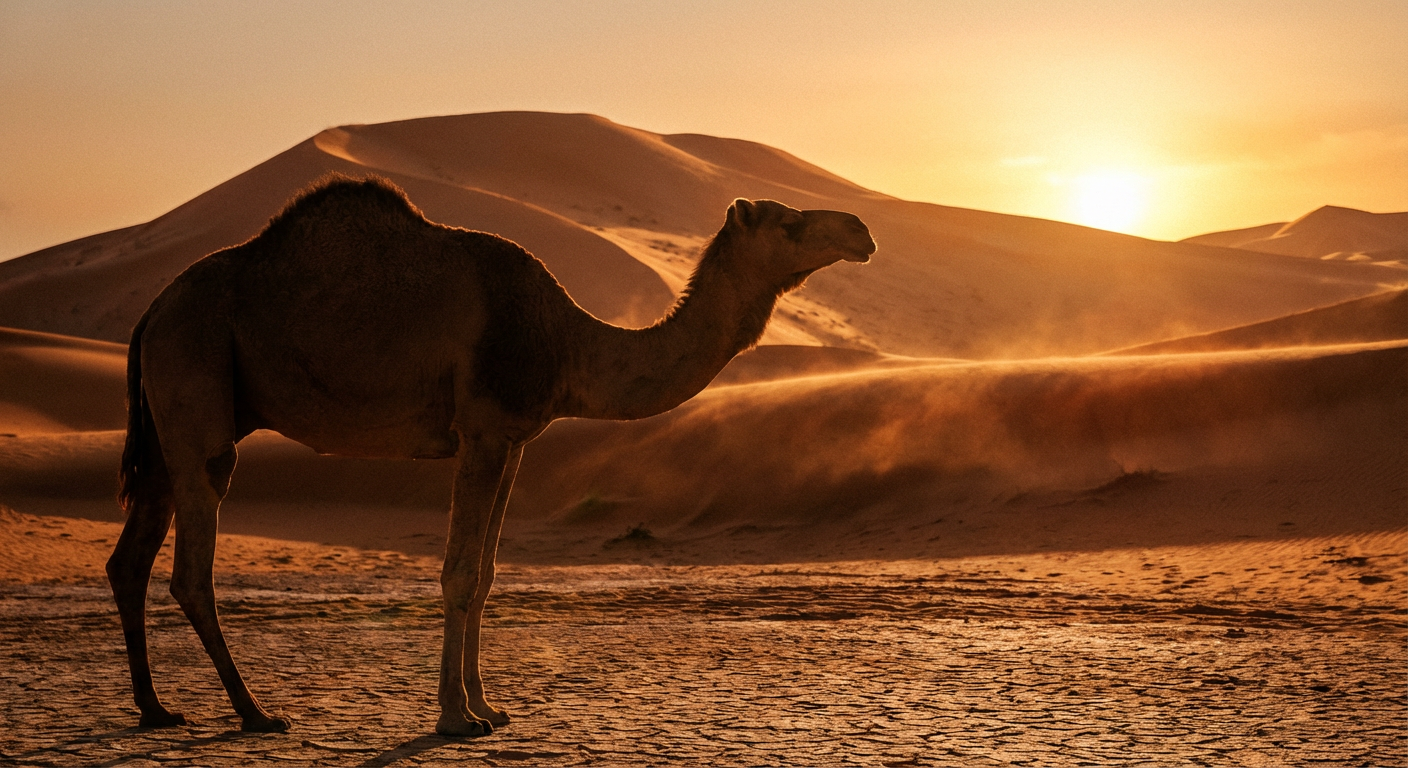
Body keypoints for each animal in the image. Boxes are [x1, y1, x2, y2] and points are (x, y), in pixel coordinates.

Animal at [106, 175, 875, 736]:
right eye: (786, 221)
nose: (861, 231)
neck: (568, 340)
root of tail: (150, 311)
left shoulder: (513, 439)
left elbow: (485, 575)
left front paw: (489, 707)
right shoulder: (480, 428)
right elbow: (456, 573)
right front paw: (454, 718)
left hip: (171, 427)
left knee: (130, 558)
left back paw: (156, 709)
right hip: (197, 383)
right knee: (191, 570)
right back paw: (255, 713)